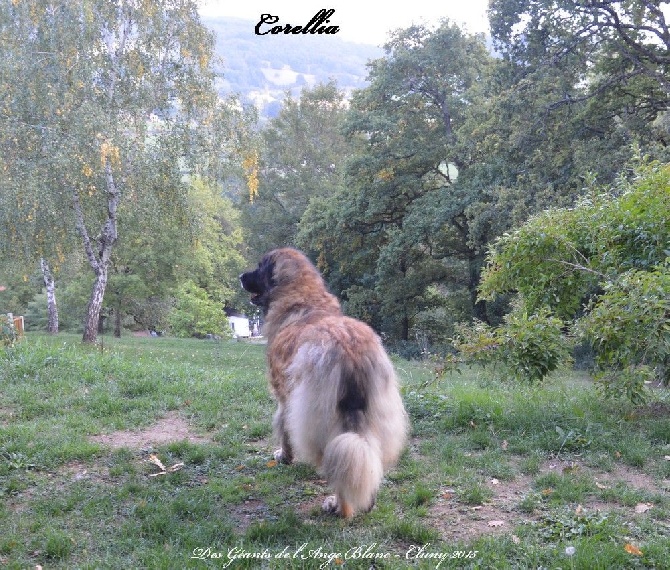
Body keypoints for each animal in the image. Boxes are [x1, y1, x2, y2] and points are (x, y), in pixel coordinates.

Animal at [242, 246, 410, 516]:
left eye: (259, 267)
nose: (240, 276)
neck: (302, 300)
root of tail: (351, 351)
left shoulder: (285, 396)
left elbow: (283, 426)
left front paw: (284, 456)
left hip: (318, 416)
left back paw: (340, 507)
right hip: (380, 413)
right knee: (365, 457)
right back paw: (367, 502)